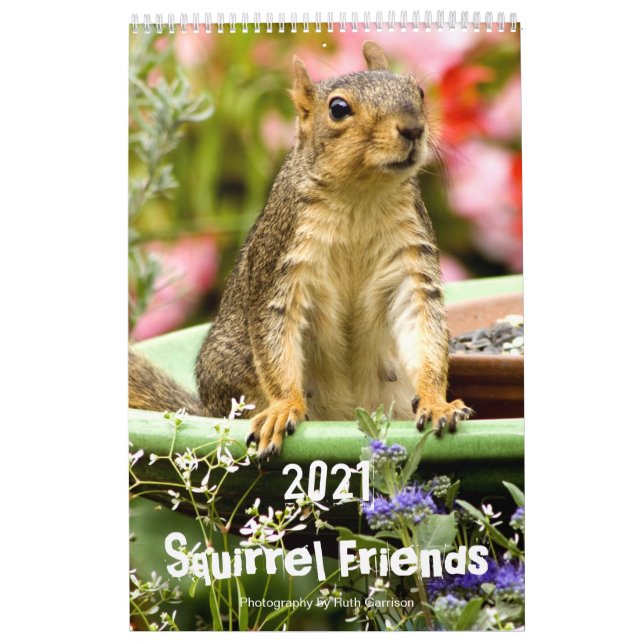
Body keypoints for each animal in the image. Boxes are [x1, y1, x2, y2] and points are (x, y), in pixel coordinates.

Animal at [129, 41, 472, 460]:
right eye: (338, 108)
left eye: (419, 92)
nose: (413, 127)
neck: (361, 194)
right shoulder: (281, 268)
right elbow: (275, 343)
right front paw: (284, 408)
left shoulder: (411, 266)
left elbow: (424, 331)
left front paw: (438, 403)